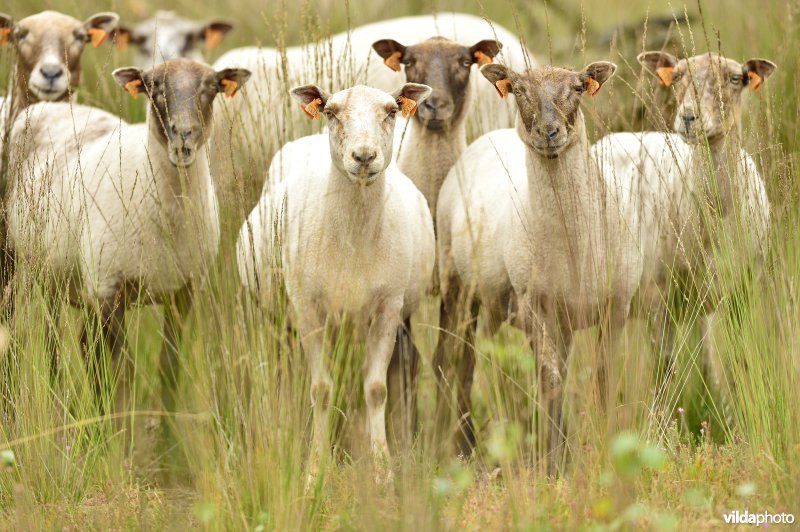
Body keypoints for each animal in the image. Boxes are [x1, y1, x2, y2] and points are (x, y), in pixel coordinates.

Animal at [4, 58, 250, 416]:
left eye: (211, 87)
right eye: (154, 87)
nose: (183, 138)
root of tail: (44, 107)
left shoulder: (183, 292)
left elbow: (167, 369)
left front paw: (163, 428)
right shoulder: (110, 291)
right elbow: (123, 374)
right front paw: (124, 427)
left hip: (74, 280)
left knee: (83, 345)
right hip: (25, 263)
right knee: (38, 339)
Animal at [236, 82, 434, 478]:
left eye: (391, 111)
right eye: (331, 112)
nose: (364, 156)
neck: (353, 238)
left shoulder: (388, 309)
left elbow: (376, 389)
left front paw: (382, 467)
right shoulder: (308, 310)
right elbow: (321, 390)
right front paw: (315, 468)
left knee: (407, 367)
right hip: (277, 318)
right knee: (278, 373)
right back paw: (280, 432)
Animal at [434, 62, 640, 474]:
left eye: (578, 87)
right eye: (518, 89)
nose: (549, 132)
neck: (576, 245)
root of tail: (486, 137)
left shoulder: (615, 307)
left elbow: (604, 381)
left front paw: (606, 451)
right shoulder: (534, 306)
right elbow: (551, 380)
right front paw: (554, 464)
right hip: (457, 286)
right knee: (456, 363)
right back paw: (457, 446)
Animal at [592, 52, 776, 422]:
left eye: (736, 78)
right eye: (675, 76)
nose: (689, 117)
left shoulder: (743, 289)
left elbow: (737, 361)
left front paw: (737, 417)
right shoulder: (658, 298)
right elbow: (665, 371)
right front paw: (661, 427)